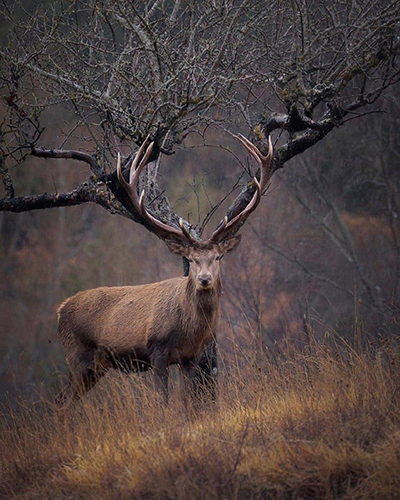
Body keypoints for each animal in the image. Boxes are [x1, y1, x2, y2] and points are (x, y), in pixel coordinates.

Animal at [55, 134, 272, 406]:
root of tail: (59, 311)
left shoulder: (190, 357)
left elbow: (187, 401)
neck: (189, 330)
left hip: (95, 366)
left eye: (218, 257)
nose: (204, 279)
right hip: (78, 355)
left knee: (63, 399)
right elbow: (163, 402)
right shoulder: (156, 350)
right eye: (190, 259)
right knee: (63, 400)